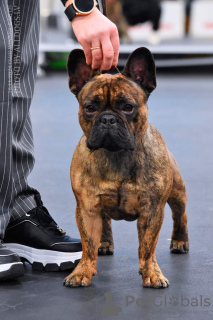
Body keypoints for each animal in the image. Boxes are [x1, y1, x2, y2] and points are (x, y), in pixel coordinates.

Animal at [63, 48, 188, 290]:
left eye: (128, 107)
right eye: (90, 108)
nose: (107, 119)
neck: (115, 154)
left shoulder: (151, 210)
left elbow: (147, 247)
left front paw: (152, 273)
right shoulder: (87, 209)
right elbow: (87, 244)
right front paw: (82, 271)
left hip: (178, 192)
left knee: (180, 215)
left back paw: (180, 241)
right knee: (105, 221)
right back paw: (104, 243)